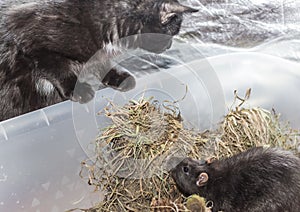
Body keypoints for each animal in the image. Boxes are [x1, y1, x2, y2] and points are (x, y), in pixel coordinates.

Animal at [0, 0, 197, 121]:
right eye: (171, 33)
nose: (169, 46)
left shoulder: (97, 55)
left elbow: (100, 64)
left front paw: (119, 77)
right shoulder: (32, 45)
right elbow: (58, 69)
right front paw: (78, 90)